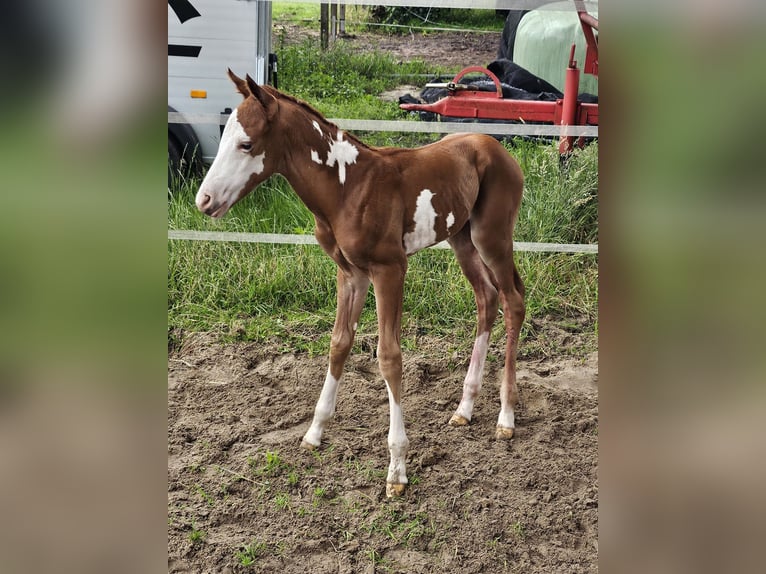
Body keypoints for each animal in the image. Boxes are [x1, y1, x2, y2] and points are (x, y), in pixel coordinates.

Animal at [195, 70, 524, 498]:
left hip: (492, 237)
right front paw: (314, 432)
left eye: (246, 143)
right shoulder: (350, 273)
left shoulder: (390, 269)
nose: (204, 200)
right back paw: (464, 409)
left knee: (513, 301)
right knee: (486, 298)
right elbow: (339, 344)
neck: (347, 187)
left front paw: (397, 470)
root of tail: (500, 149)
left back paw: (506, 417)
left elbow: (389, 357)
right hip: (462, 239)